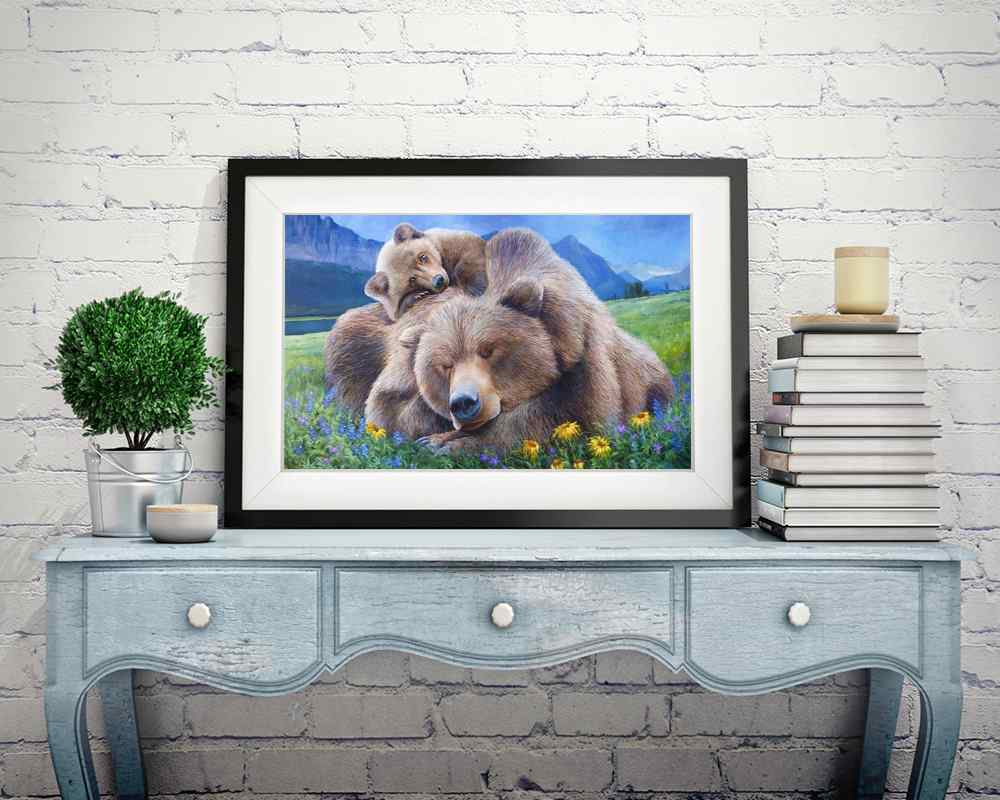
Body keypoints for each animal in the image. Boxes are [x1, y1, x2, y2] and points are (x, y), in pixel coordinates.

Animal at [397, 228, 675, 455]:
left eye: (488, 351)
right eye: (446, 365)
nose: (464, 402)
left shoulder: (582, 350)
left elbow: (575, 417)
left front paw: (449, 444)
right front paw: (435, 438)